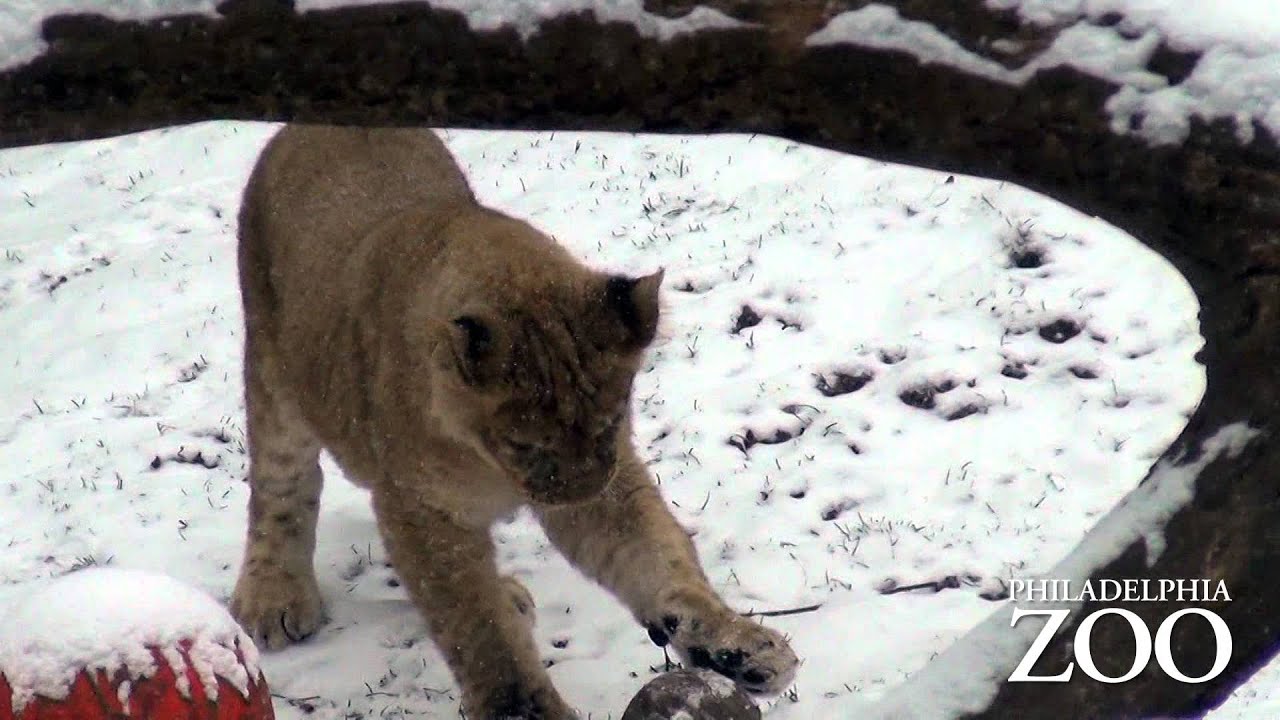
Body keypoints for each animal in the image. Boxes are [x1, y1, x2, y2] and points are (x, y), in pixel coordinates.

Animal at [228, 124, 798, 719]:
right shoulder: (422, 508)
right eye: (524, 442)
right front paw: (524, 710)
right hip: (273, 373)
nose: (577, 493)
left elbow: (656, 558)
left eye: (609, 422)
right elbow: (478, 629)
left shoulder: (609, 483)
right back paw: (273, 596)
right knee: (282, 485)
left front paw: (734, 648)